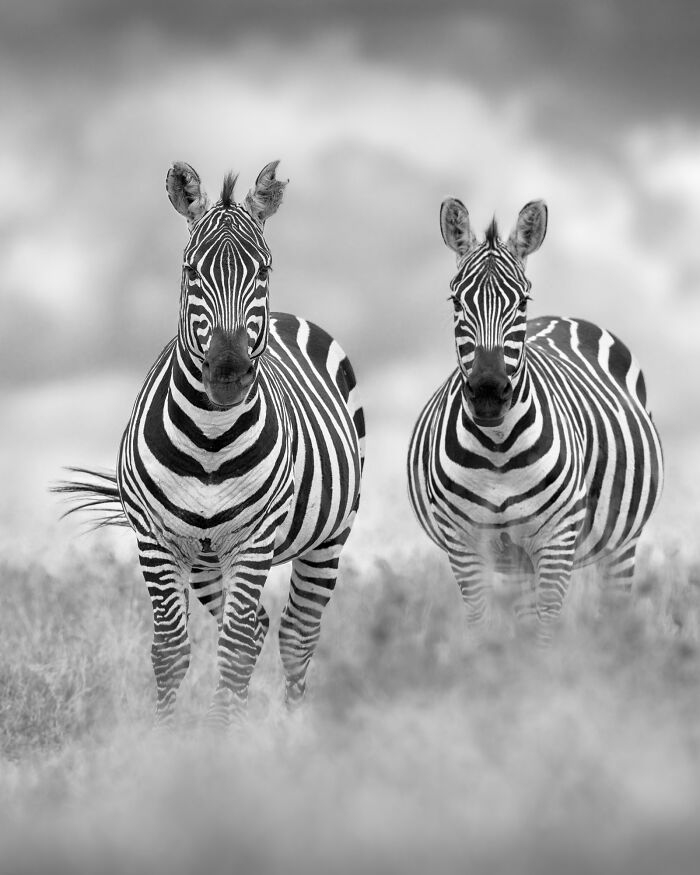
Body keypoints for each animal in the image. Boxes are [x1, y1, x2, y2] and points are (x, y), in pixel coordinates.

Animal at [56, 161, 365, 725]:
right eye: (190, 272)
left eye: (263, 271)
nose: (227, 373)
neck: (210, 440)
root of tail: (287, 317)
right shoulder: (155, 540)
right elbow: (171, 650)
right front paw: (173, 739)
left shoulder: (255, 540)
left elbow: (236, 650)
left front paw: (221, 742)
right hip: (204, 563)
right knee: (259, 626)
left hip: (329, 539)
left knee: (294, 636)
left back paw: (293, 730)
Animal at [407, 197, 663, 642]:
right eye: (456, 302)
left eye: (523, 302)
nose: (489, 392)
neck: (497, 449)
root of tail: (564, 318)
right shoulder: (466, 545)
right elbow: (482, 629)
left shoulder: (556, 542)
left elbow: (545, 634)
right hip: (515, 560)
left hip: (622, 542)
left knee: (614, 611)